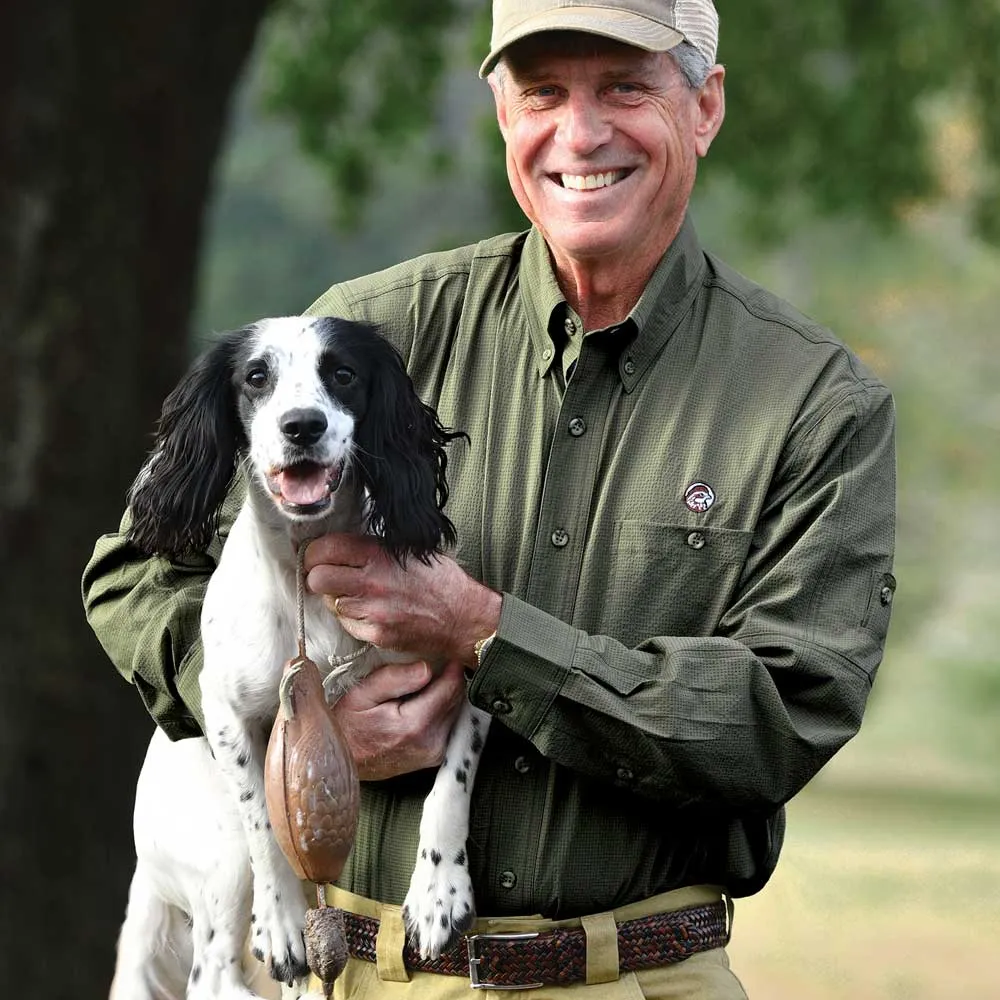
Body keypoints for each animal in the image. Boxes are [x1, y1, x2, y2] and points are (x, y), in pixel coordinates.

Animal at [115, 318, 490, 1000]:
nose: (302, 425)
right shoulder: (226, 713)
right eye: (256, 376)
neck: (308, 575)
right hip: (217, 864)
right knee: (217, 972)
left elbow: (452, 776)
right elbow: (264, 823)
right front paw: (284, 920)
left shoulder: (472, 658)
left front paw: (438, 892)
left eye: (342, 372)